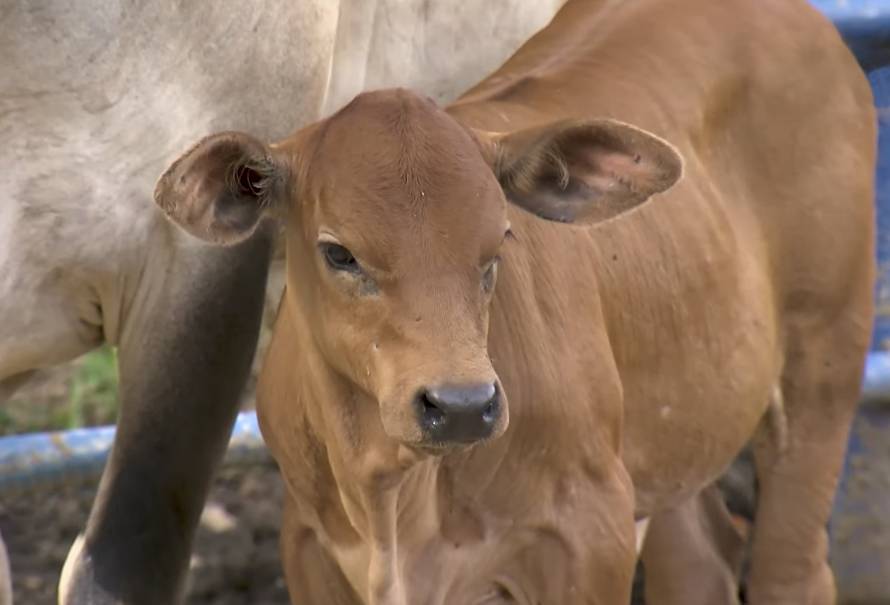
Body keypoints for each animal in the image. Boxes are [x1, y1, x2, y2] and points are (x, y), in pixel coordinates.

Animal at [154, 0, 876, 600]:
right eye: (339, 253)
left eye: (499, 239)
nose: (461, 406)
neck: (391, 494)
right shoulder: (309, 545)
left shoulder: (589, 532)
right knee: (701, 562)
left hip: (825, 355)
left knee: (792, 568)